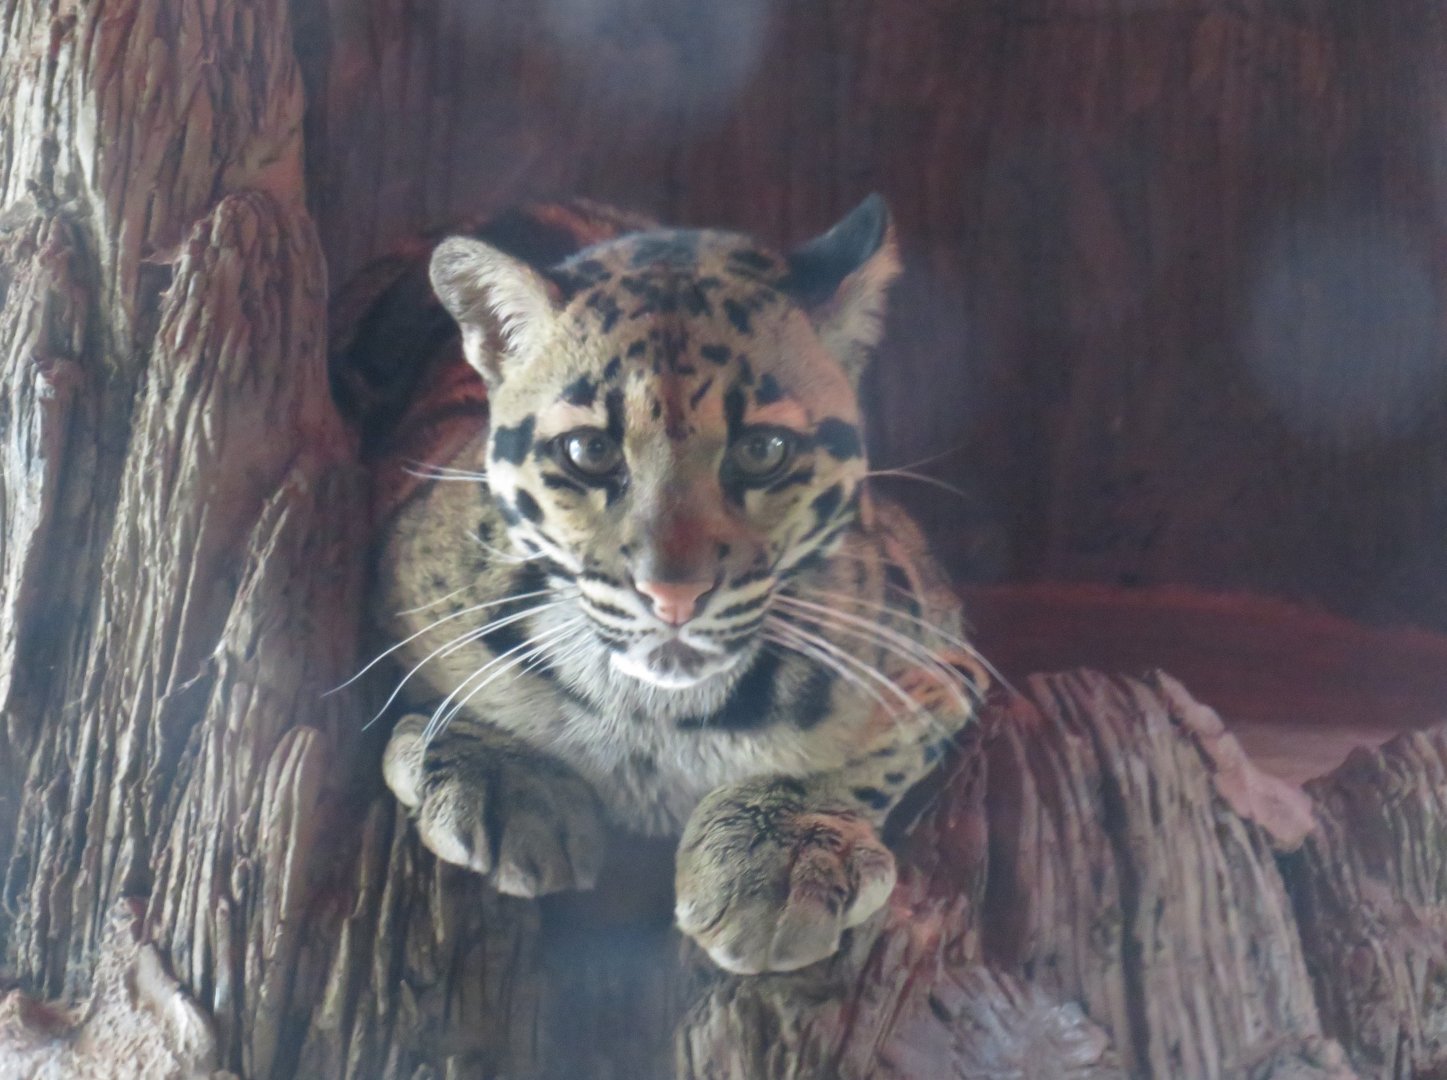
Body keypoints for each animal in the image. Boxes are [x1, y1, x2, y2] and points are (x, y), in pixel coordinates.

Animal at [374, 195, 988, 975]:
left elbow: (882, 745)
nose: (672, 596)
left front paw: (779, 851)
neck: (654, 717)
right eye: (589, 451)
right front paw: (503, 772)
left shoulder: (944, 652)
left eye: (763, 450)